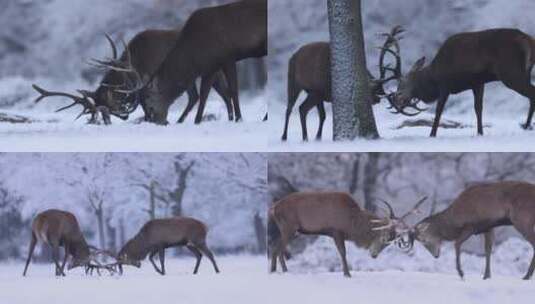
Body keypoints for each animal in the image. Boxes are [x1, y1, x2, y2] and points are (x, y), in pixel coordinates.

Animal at [33, 28, 234, 123]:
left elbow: (147, 102)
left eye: (106, 104)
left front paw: (154, 120)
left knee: (223, 92)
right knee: (196, 96)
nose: (107, 120)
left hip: (212, 70)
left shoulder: (149, 80)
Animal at [270, 192, 426, 278]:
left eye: (389, 243)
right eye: (383, 238)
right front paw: (347, 274)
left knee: (277, 247)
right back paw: (277, 270)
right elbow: (343, 252)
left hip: (290, 230)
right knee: (277, 248)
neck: (352, 223)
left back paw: (278, 270)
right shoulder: (336, 231)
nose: (374, 255)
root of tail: (273, 208)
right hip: (289, 227)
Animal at [388, 27, 535, 137]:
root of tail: (529, 40)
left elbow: (439, 110)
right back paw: (526, 126)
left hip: (510, 72)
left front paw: (432, 134)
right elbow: (478, 108)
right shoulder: (478, 83)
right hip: (525, 72)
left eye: (403, 83)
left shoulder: (445, 84)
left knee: (531, 94)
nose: (396, 98)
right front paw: (480, 133)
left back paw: (526, 126)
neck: (433, 77)